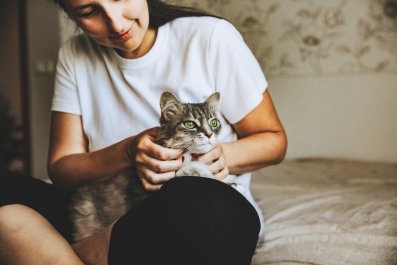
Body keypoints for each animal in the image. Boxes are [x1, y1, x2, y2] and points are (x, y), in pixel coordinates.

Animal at [68, 92, 240, 240]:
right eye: (190, 124)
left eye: (213, 122)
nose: (210, 134)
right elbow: (182, 173)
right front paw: (194, 171)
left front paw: (233, 184)